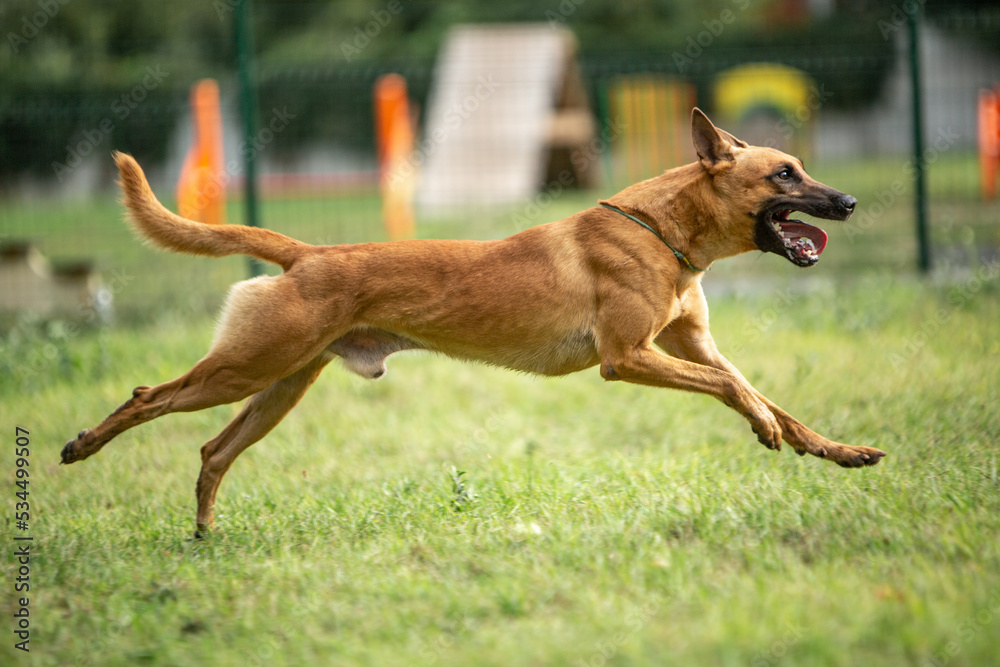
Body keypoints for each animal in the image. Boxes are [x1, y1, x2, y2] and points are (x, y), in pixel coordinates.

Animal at [62, 109, 888, 536]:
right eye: (784, 173)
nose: (849, 203)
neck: (664, 230)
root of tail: (307, 253)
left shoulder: (691, 347)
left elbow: (763, 394)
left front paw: (836, 449)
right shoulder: (627, 357)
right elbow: (737, 391)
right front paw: (765, 426)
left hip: (281, 384)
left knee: (213, 450)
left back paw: (204, 534)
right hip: (248, 367)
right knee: (149, 397)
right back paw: (81, 446)